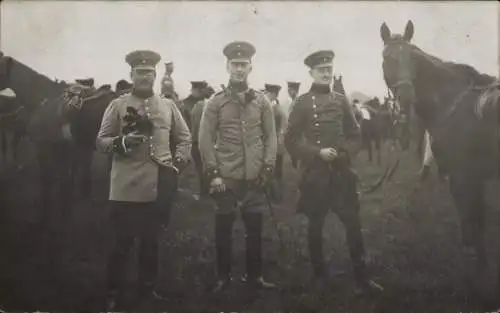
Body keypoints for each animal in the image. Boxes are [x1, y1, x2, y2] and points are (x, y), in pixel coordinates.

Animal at [380, 20, 498, 288]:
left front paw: (478, 268)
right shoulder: (471, 178)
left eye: (413, 57)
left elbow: (473, 223)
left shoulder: (464, 177)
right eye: (387, 57)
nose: (406, 96)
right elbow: (477, 221)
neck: (452, 102)